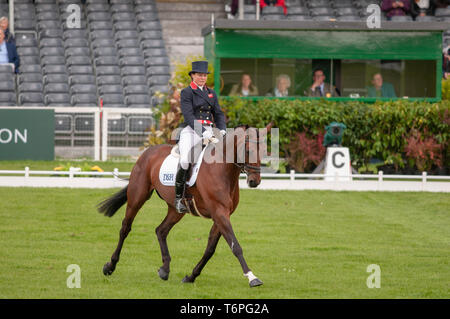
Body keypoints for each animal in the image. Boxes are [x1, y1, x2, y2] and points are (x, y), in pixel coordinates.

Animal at [97, 124, 270, 288]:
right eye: (247, 150)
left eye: (264, 151)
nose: (254, 181)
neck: (222, 170)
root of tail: (148, 152)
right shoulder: (219, 212)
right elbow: (235, 246)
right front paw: (252, 278)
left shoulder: (222, 215)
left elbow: (210, 249)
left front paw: (191, 277)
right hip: (137, 197)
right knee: (125, 228)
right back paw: (110, 266)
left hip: (175, 210)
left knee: (161, 230)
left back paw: (165, 269)